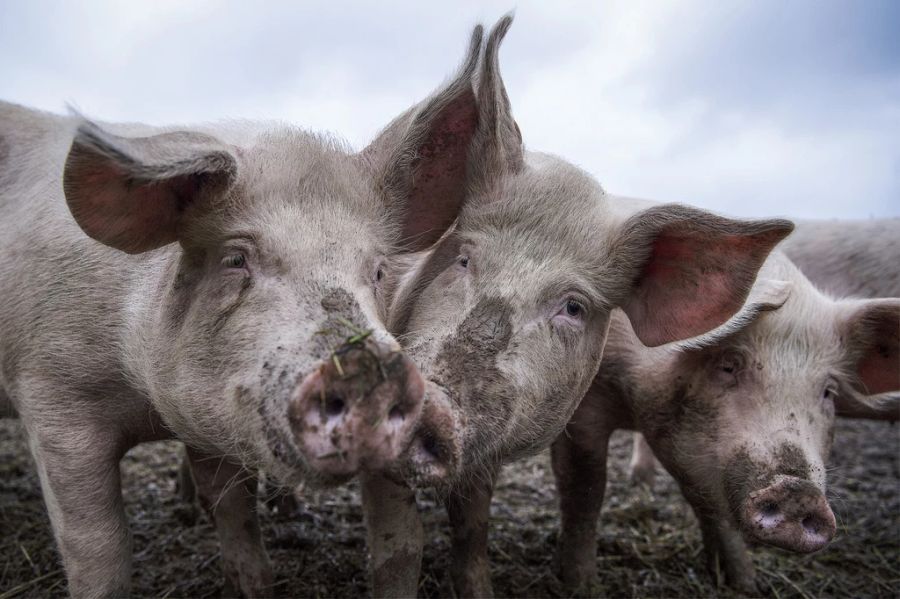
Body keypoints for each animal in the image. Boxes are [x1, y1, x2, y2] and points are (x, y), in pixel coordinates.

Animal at [0, 28, 492, 599]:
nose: (372, 372)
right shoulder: (52, 397)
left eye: (376, 270)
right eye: (236, 259)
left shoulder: (210, 421)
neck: (146, 403)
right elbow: (100, 551)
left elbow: (236, 520)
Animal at [552, 250, 896, 596]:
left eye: (828, 392)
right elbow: (585, 490)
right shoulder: (582, 408)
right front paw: (582, 586)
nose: (799, 491)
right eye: (728, 365)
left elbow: (710, 505)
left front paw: (745, 584)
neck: (633, 397)